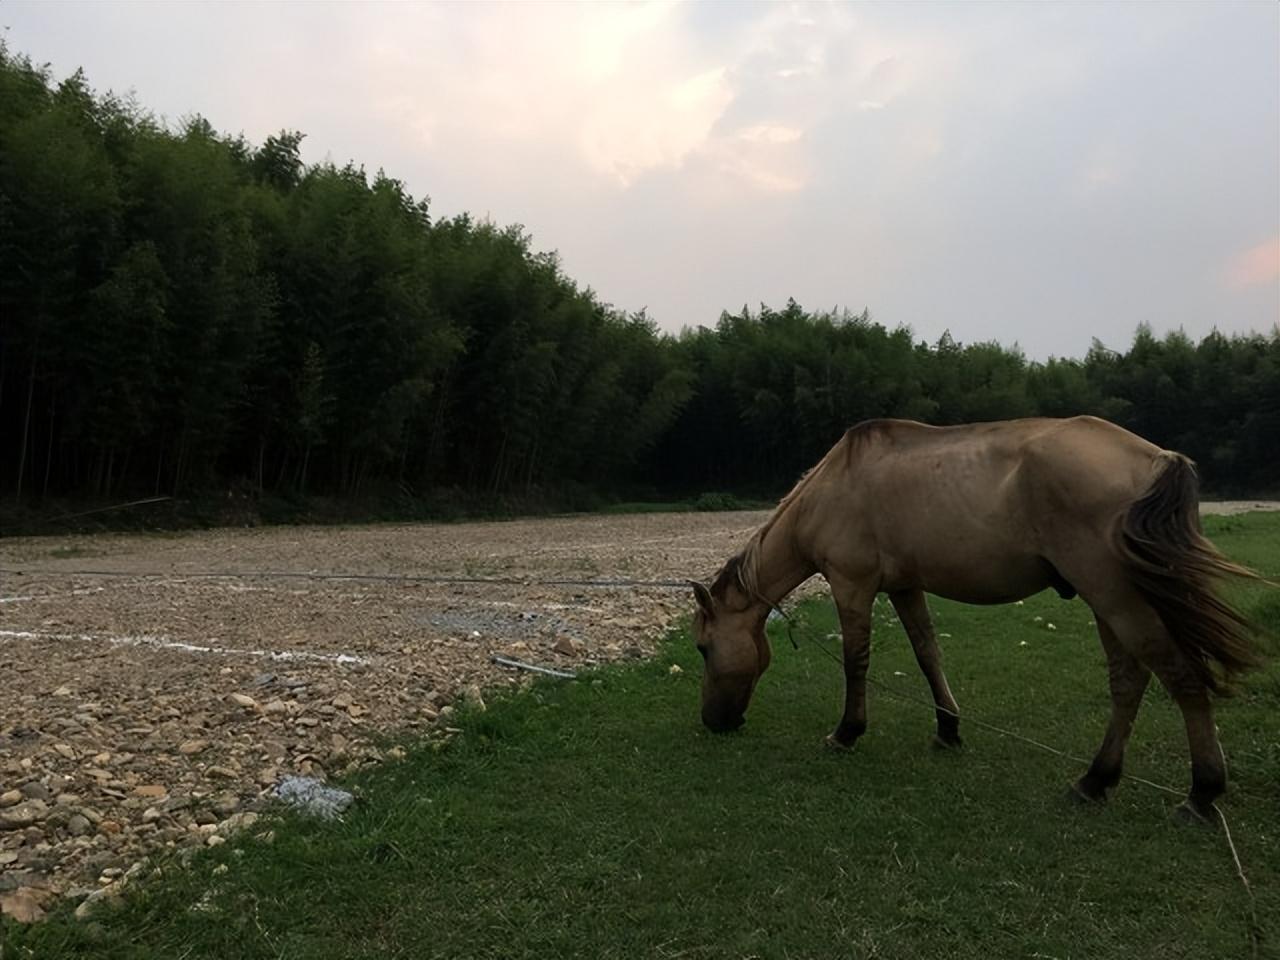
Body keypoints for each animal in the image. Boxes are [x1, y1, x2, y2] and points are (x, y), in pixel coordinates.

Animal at [691, 417, 1259, 824]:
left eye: (702, 648)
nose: (714, 722)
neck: (834, 487)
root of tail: (1157, 459)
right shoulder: (904, 587)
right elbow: (927, 653)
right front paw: (948, 727)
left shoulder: (852, 585)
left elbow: (856, 661)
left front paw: (847, 732)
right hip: (1108, 602)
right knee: (1129, 681)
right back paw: (1096, 780)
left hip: (1116, 597)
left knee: (1179, 676)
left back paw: (1201, 792)